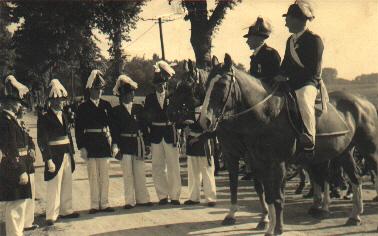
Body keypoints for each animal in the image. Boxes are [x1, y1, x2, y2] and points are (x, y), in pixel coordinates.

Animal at [199, 54, 378, 236]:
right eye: (206, 85)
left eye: (221, 84)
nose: (204, 120)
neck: (267, 114)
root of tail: (365, 101)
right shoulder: (259, 162)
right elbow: (268, 195)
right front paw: (269, 226)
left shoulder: (277, 163)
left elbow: (277, 196)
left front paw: (277, 228)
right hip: (343, 152)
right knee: (355, 178)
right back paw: (354, 216)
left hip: (369, 150)